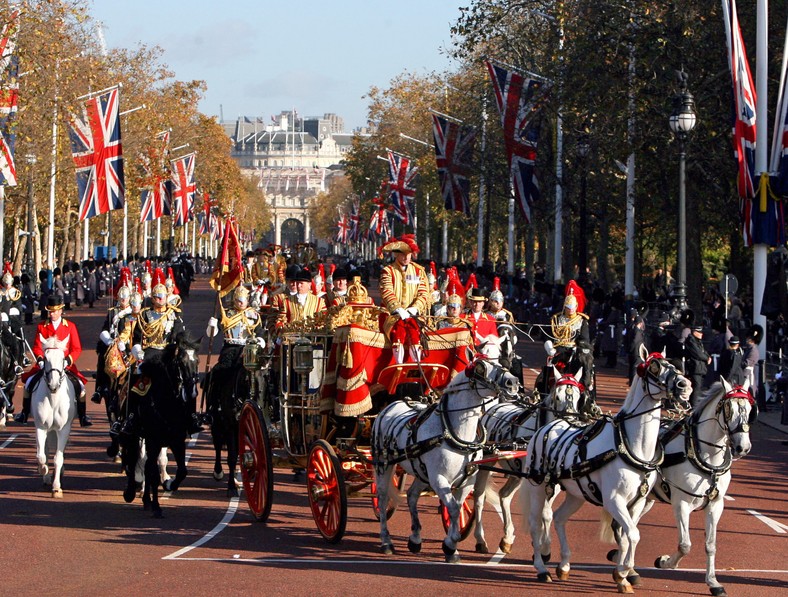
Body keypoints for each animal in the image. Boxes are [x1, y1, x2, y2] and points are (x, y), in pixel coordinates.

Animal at [31, 336, 76, 498]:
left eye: (63, 358)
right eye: (45, 358)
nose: (54, 385)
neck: (53, 398)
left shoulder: (63, 429)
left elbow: (58, 458)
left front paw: (56, 487)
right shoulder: (41, 427)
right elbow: (41, 455)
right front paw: (43, 470)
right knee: (46, 450)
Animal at [121, 330, 200, 516]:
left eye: (197, 361)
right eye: (181, 362)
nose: (192, 390)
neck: (167, 403)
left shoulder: (177, 440)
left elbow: (182, 471)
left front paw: (169, 484)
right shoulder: (154, 440)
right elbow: (152, 472)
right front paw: (156, 506)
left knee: (146, 465)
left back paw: (146, 500)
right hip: (134, 435)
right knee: (133, 459)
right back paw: (130, 493)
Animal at [372, 358, 520, 560]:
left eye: (502, 361)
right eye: (480, 368)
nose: (513, 382)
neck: (455, 434)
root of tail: (389, 406)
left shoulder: (466, 481)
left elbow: (456, 507)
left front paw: (451, 544)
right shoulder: (439, 479)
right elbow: (454, 509)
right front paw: (451, 544)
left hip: (421, 472)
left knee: (412, 495)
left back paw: (415, 538)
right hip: (383, 465)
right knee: (383, 497)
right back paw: (386, 541)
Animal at [474, 366, 584, 556]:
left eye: (578, 396)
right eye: (557, 396)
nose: (570, 419)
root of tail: (494, 407)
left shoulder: (552, 481)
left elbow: (546, 513)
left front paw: (543, 546)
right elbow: (540, 512)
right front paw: (543, 546)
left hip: (516, 473)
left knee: (504, 495)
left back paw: (507, 538)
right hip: (486, 463)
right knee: (479, 497)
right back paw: (480, 539)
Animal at [524, 350, 688, 592]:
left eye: (674, 365)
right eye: (655, 367)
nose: (684, 385)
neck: (631, 446)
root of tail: (548, 426)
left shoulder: (637, 502)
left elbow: (629, 534)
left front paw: (623, 574)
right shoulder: (614, 500)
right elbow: (633, 534)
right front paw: (623, 571)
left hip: (576, 493)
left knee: (560, 518)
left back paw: (564, 565)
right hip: (538, 486)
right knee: (536, 523)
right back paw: (542, 567)